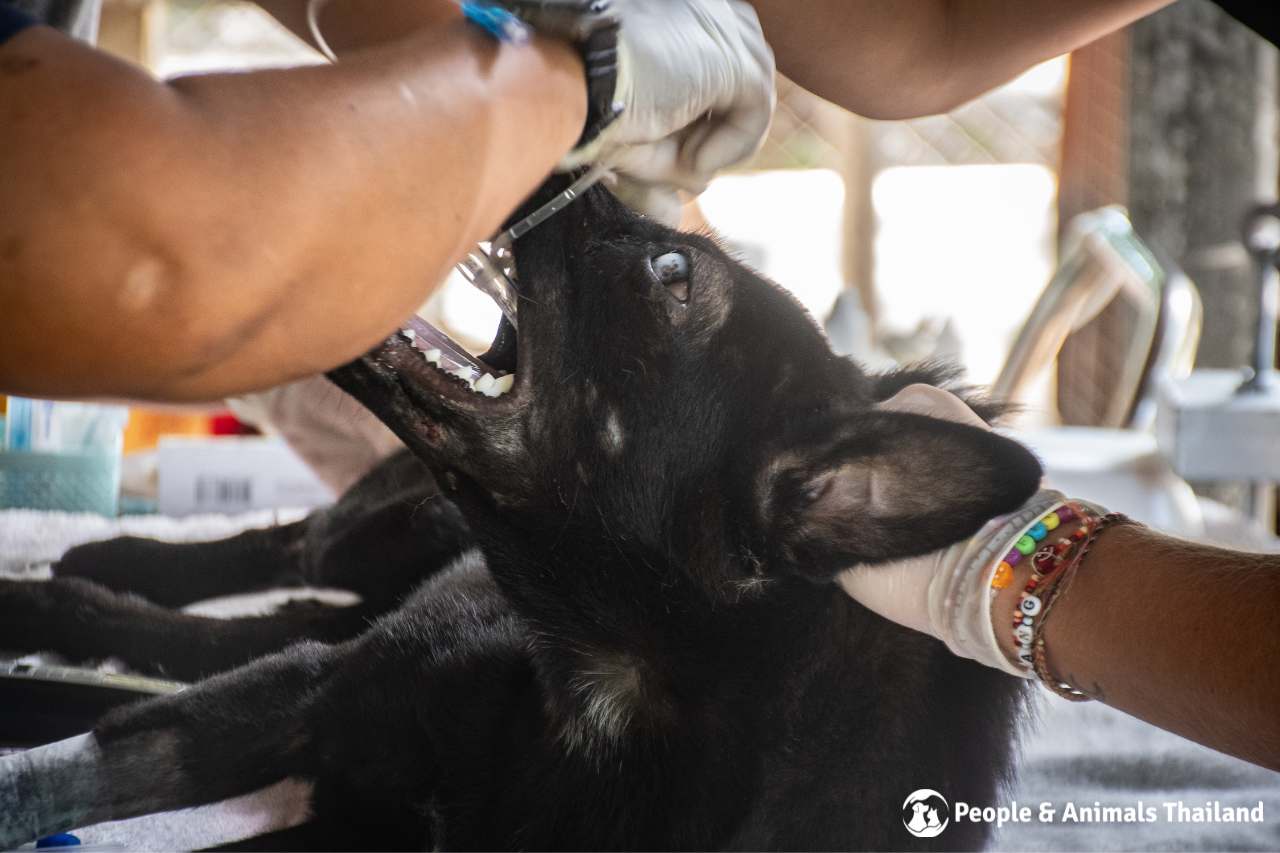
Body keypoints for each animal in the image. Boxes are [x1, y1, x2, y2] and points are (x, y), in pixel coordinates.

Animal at [0, 183, 1039, 845]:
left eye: (673, 271)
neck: (603, 689)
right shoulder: (308, 699)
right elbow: (102, 760)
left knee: (251, 618)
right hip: (384, 540)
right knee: (284, 552)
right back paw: (94, 572)